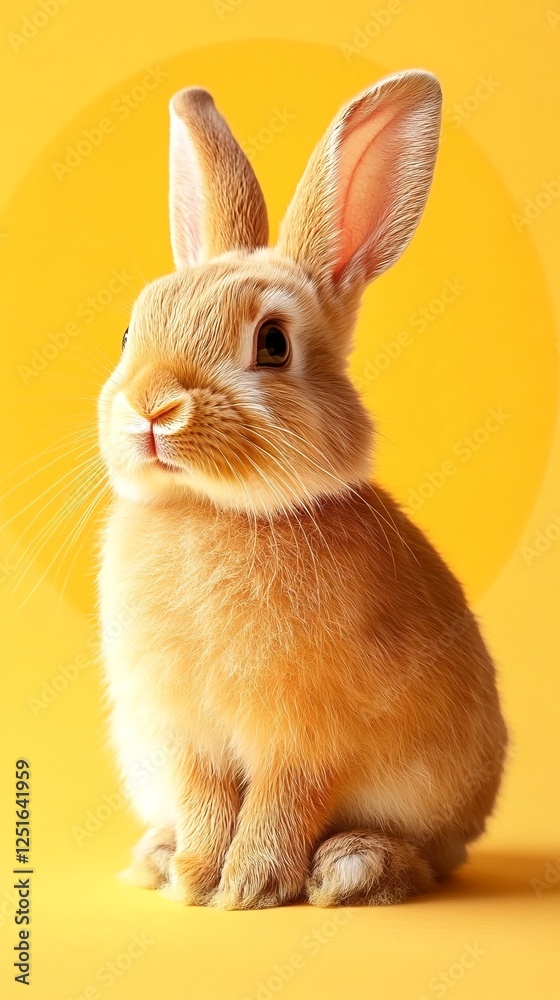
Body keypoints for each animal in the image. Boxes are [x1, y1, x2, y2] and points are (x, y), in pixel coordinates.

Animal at [98, 70, 508, 909]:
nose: (153, 407)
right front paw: (194, 878)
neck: (210, 510)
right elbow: (206, 800)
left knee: (426, 858)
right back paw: (159, 854)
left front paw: (249, 886)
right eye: (131, 331)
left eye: (273, 344)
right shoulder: (185, 736)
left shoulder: (305, 737)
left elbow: (282, 803)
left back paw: (353, 865)